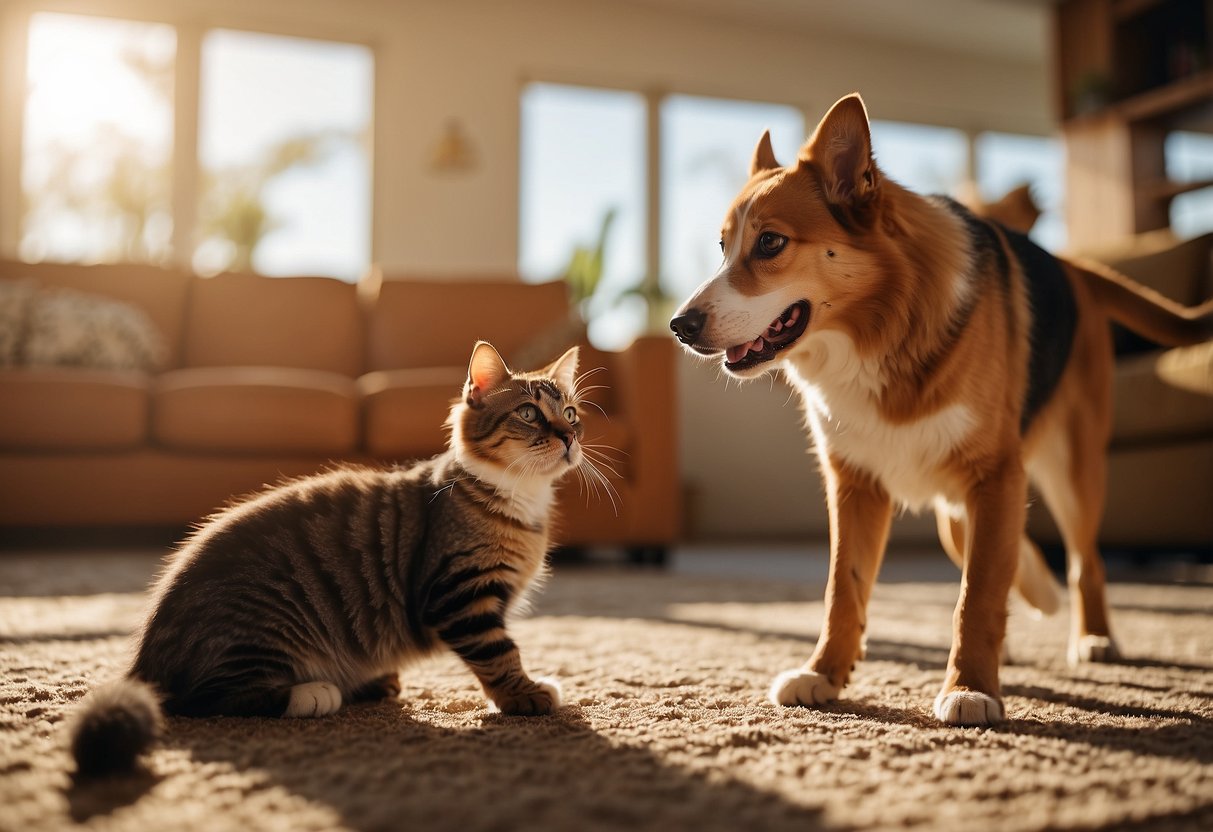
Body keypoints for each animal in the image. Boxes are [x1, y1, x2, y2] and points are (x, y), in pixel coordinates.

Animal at [68, 337, 604, 776]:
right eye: (529, 414)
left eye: (572, 413)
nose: (570, 437)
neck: (520, 500)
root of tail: (145, 659)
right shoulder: (460, 594)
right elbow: (499, 651)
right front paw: (524, 693)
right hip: (258, 629)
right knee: (208, 696)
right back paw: (313, 692)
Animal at [669, 90, 1213, 727]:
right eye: (722, 247)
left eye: (771, 243)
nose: (679, 326)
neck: (881, 330)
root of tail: (1072, 267)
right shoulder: (855, 485)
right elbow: (843, 590)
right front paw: (824, 674)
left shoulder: (996, 474)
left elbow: (975, 596)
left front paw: (971, 686)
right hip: (960, 501)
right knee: (986, 547)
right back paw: (1033, 591)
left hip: (1072, 471)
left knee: (1086, 561)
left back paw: (1093, 635)